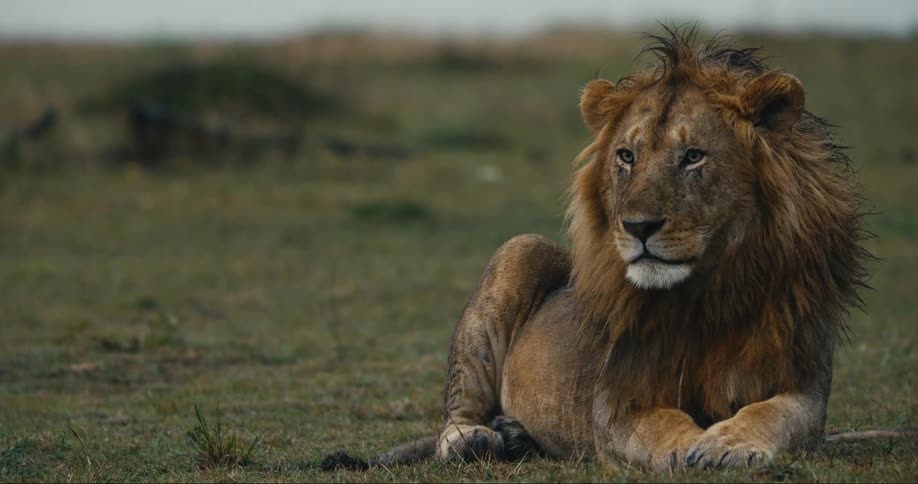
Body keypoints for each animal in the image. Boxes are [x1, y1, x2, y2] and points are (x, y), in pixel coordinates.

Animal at [322, 28, 881, 472]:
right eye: (626, 156)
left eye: (693, 156)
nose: (638, 226)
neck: (710, 291)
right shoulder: (614, 403)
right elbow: (659, 427)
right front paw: (689, 447)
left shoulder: (803, 382)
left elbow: (776, 414)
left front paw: (727, 443)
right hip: (519, 253)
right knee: (454, 418)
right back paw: (481, 438)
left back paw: (516, 437)